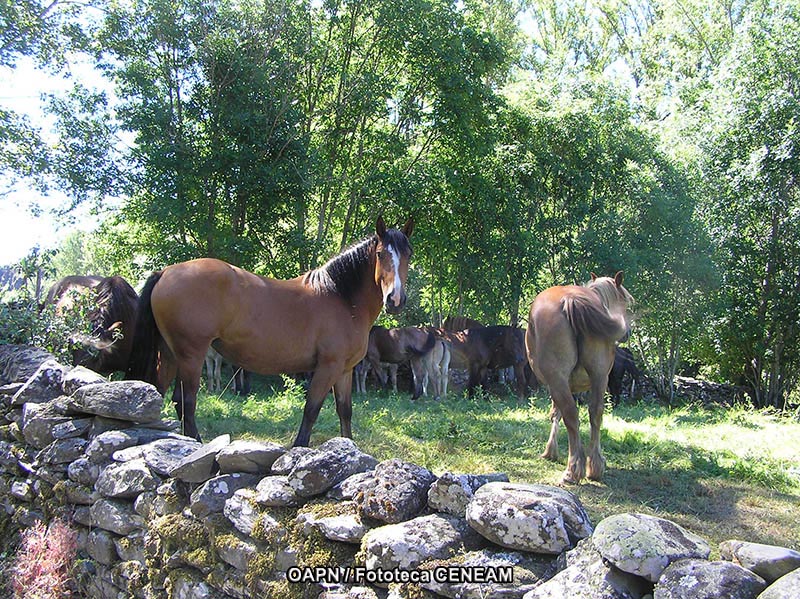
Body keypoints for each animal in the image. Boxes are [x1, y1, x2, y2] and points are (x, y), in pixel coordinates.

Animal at [128, 217, 416, 446]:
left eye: (408, 255)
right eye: (380, 254)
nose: (395, 300)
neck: (340, 296)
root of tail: (166, 271)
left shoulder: (344, 370)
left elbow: (344, 411)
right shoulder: (328, 367)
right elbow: (311, 409)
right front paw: (300, 448)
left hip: (170, 354)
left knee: (166, 394)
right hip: (191, 355)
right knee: (186, 402)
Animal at [528, 274, 636, 486]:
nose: (627, 333)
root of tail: (570, 298)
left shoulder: (558, 385)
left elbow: (556, 414)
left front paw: (551, 451)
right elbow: (559, 413)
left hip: (559, 379)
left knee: (572, 415)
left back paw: (573, 469)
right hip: (599, 376)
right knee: (596, 413)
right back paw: (595, 466)